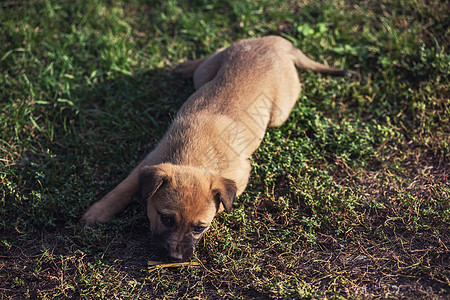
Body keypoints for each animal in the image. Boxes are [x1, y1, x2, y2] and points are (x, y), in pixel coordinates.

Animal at [81, 34, 348, 260]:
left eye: (200, 228)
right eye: (166, 219)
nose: (174, 258)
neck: (195, 156)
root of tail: (276, 43)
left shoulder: (240, 175)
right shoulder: (150, 161)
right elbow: (123, 188)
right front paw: (98, 212)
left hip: (279, 113)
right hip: (210, 71)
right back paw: (184, 66)